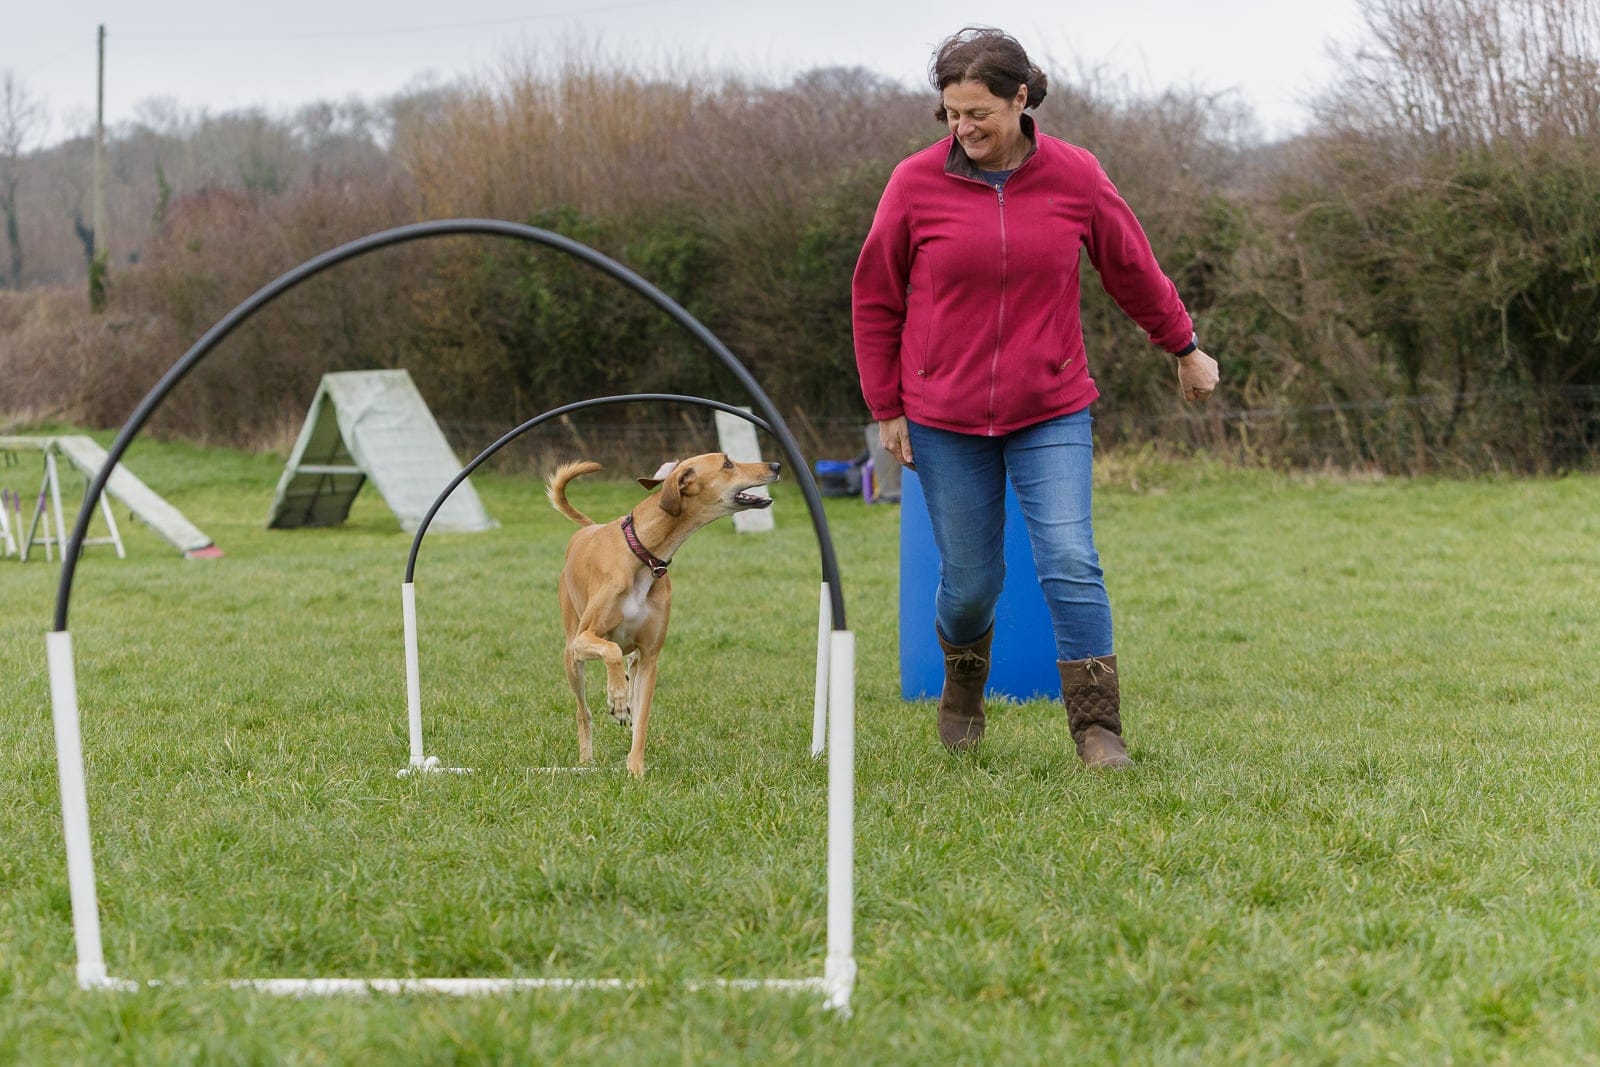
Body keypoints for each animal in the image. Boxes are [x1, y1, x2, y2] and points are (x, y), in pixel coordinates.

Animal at [544, 451, 780, 777]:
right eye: (727, 463)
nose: (776, 466)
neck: (642, 551)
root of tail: (588, 528)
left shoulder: (651, 657)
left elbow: (643, 717)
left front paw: (636, 770)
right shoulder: (584, 639)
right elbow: (610, 650)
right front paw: (617, 699)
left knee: (630, 668)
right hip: (571, 656)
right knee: (583, 710)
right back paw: (586, 757)